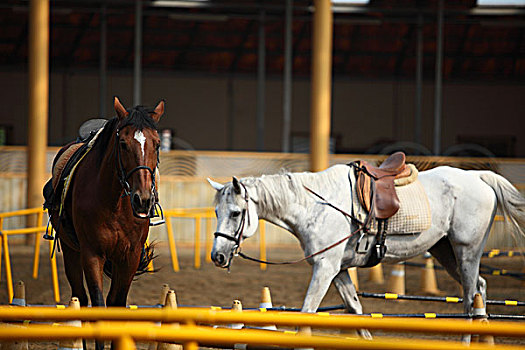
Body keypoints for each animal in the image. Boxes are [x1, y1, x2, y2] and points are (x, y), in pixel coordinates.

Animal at [49, 95, 165, 348]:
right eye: (122, 143)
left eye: (157, 144)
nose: (143, 200)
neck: (114, 203)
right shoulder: (92, 254)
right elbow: (98, 308)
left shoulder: (130, 256)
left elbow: (116, 306)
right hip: (72, 253)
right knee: (82, 299)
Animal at [207, 163, 520, 340]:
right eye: (217, 212)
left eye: (236, 213)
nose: (217, 257)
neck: (315, 206)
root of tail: (478, 177)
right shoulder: (338, 271)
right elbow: (356, 312)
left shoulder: (325, 269)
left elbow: (307, 314)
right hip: (445, 253)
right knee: (479, 290)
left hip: (467, 252)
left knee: (469, 302)